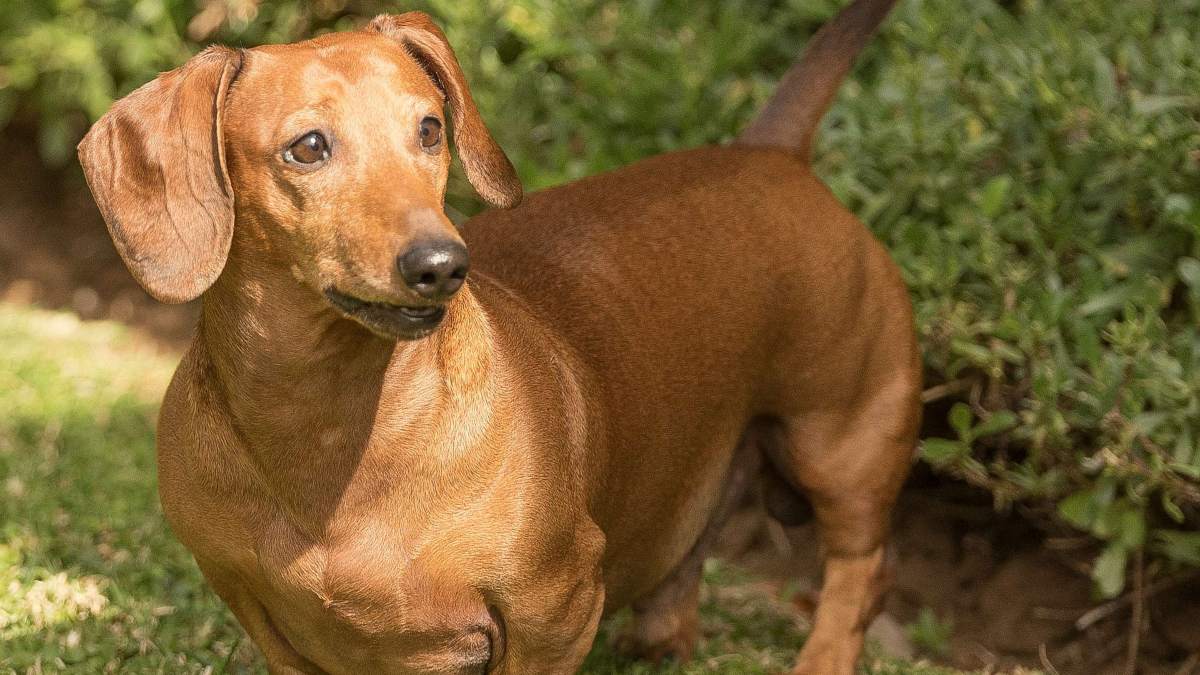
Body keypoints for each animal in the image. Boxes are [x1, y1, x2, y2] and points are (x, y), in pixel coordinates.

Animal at [77, 1, 916, 667]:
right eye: (308, 146)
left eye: (429, 129)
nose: (443, 264)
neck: (328, 432)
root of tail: (771, 153)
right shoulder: (254, 606)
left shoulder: (554, 608)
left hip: (842, 440)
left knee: (862, 572)